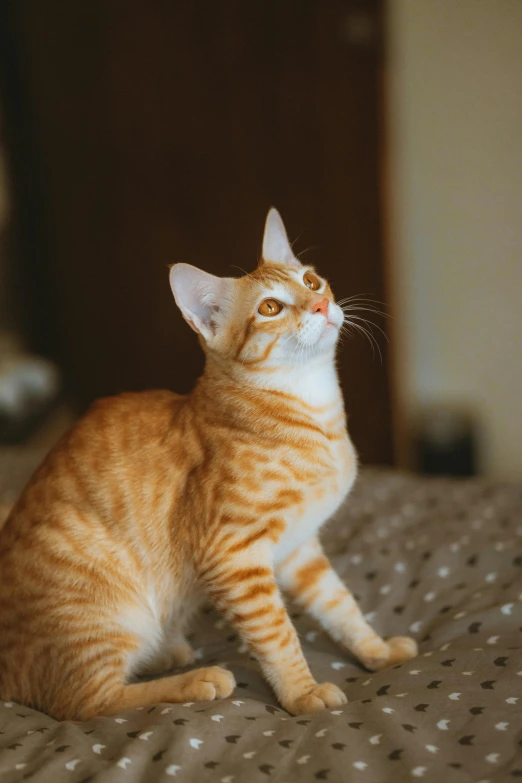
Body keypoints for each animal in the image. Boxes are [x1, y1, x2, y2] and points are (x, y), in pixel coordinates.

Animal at [0, 210, 416, 724]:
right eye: (271, 308)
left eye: (311, 280)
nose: (320, 304)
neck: (313, 413)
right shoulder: (233, 554)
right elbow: (277, 633)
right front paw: (302, 694)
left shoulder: (298, 550)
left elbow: (341, 604)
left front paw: (375, 649)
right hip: (105, 610)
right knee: (85, 702)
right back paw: (196, 680)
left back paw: (168, 652)